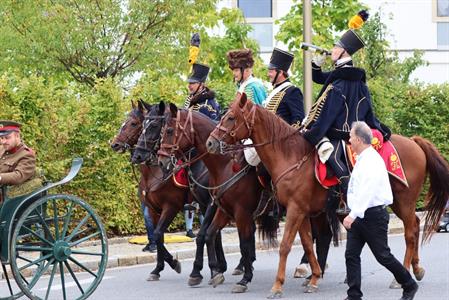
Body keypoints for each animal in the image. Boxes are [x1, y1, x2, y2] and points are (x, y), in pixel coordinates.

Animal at [110, 101, 226, 284]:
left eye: (133, 123)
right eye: (141, 125)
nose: (115, 144)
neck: (154, 172)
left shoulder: (172, 206)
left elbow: (159, 234)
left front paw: (174, 263)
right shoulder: (153, 209)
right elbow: (159, 237)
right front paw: (157, 269)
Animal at [157, 103, 276, 292]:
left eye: (169, 130)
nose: (161, 161)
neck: (225, 165)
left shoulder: (235, 211)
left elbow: (235, 241)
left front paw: (237, 276)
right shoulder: (220, 208)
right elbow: (209, 234)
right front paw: (213, 271)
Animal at [206, 94, 448, 298]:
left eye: (230, 117)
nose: (210, 142)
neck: (290, 155)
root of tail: (414, 141)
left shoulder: (292, 210)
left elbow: (285, 246)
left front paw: (277, 286)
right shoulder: (302, 211)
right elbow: (306, 243)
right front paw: (313, 277)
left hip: (403, 200)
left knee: (410, 231)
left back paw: (402, 275)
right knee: (414, 225)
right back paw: (416, 268)